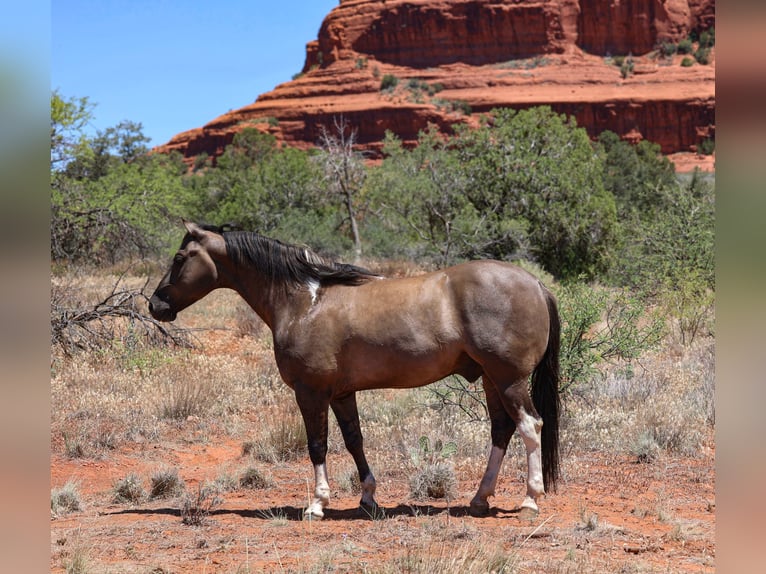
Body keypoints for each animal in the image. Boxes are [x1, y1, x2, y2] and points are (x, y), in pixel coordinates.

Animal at [149, 220, 561, 520]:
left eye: (180, 257)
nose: (155, 305)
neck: (305, 301)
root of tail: (536, 283)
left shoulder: (310, 392)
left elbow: (317, 444)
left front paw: (317, 503)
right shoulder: (343, 394)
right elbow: (354, 441)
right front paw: (368, 498)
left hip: (509, 380)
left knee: (530, 426)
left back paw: (530, 499)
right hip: (492, 379)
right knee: (502, 430)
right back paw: (480, 499)